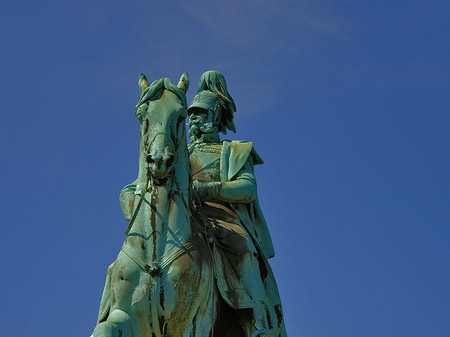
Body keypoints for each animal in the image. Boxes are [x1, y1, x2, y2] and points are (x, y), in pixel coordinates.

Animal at [91, 73, 221, 336]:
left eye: (180, 116)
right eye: (143, 115)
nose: (160, 160)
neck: (155, 250)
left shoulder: (189, 324)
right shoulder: (124, 315)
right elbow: (104, 328)